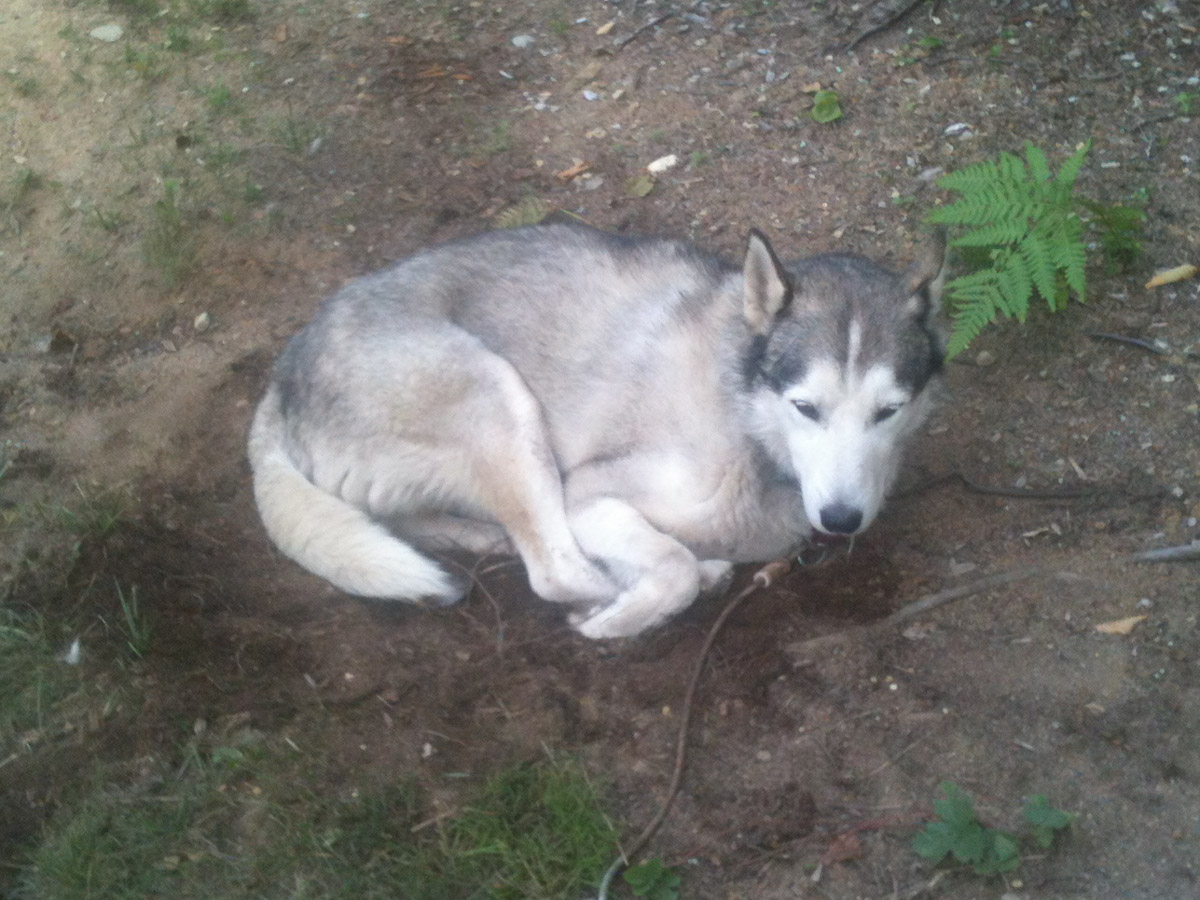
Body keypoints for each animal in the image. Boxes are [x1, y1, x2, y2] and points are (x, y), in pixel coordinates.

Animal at [250, 222, 945, 638]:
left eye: (887, 411)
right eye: (806, 407)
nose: (842, 519)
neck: (749, 430)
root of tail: (281, 377)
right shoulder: (586, 493)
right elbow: (669, 568)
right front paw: (622, 615)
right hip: (499, 398)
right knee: (555, 571)